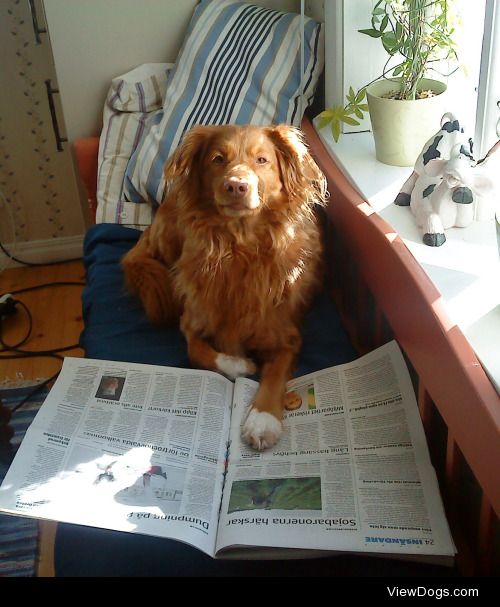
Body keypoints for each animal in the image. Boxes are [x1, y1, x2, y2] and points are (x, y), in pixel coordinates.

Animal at [122, 123, 326, 448]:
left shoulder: (286, 336)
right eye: (217, 159)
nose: (236, 186)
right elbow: (195, 349)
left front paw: (262, 419)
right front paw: (237, 365)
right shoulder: (193, 315)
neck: (238, 249)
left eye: (262, 160)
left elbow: (274, 377)